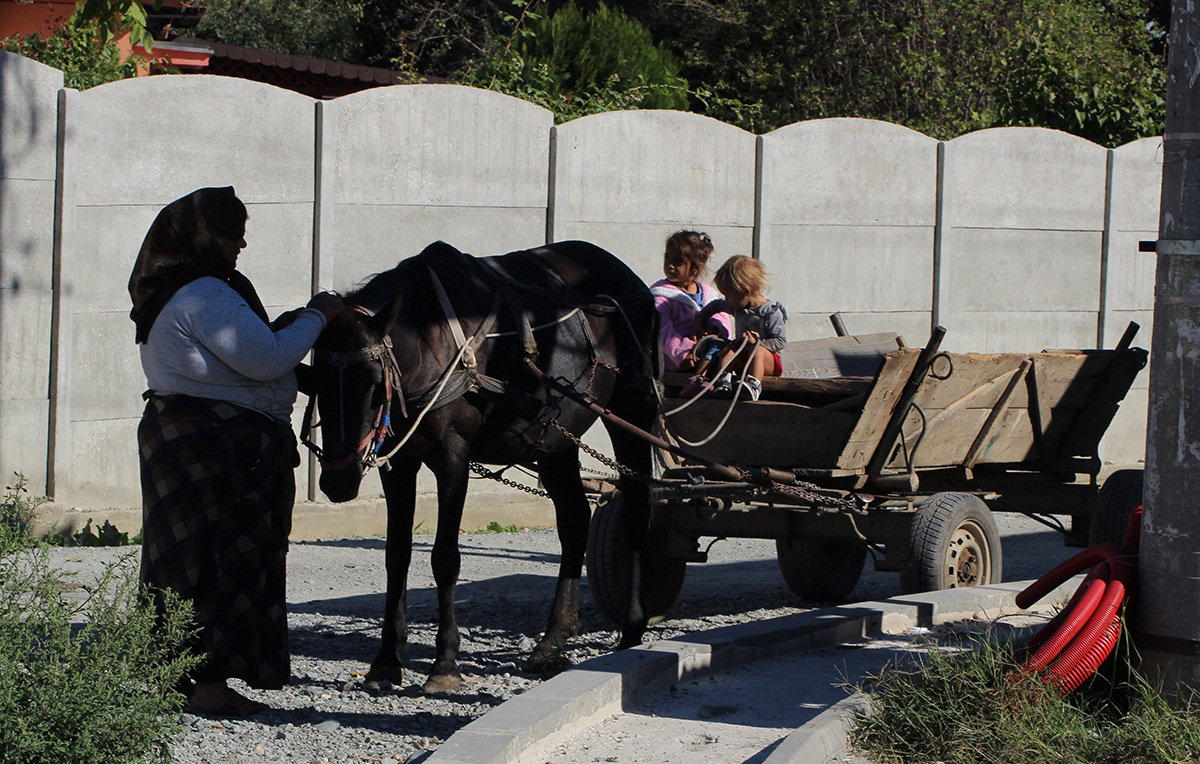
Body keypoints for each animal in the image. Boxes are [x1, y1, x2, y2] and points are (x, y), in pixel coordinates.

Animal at [307, 239, 657, 690]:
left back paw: (632, 626)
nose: (338, 478)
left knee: (635, 512)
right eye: (315, 381)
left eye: (372, 381)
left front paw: (444, 664)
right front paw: (386, 659)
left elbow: (445, 558)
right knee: (575, 521)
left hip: (633, 411)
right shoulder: (399, 465)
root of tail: (632, 282)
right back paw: (552, 640)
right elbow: (396, 555)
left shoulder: (453, 458)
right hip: (556, 435)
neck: (428, 344)